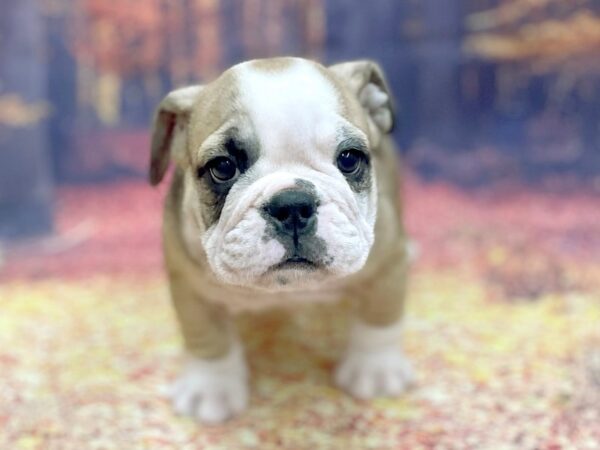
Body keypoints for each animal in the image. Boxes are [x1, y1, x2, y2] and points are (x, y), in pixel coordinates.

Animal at [149, 58, 412, 424]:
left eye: (349, 158)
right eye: (222, 167)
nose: (293, 204)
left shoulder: (388, 261)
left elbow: (381, 315)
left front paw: (376, 370)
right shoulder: (187, 283)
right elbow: (205, 334)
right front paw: (210, 388)